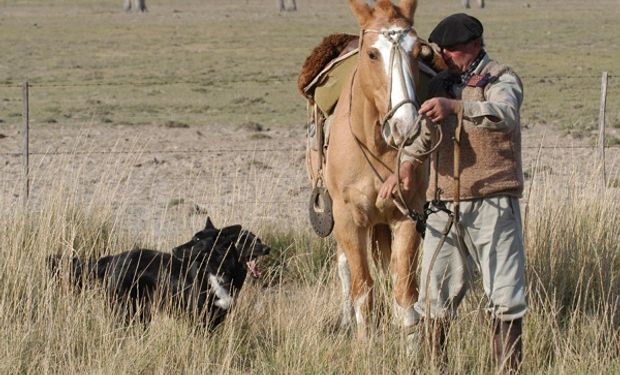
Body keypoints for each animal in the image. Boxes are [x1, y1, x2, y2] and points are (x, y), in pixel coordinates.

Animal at [47, 217, 270, 328]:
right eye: (195, 238)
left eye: (256, 240)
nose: (267, 248)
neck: (217, 270)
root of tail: (112, 259)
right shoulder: (198, 318)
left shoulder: (217, 318)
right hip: (126, 308)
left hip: (141, 311)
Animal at [326, 0, 428, 340]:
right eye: (372, 54)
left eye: (418, 52)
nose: (406, 126)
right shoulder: (348, 219)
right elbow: (362, 292)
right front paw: (365, 344)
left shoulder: (407, 216)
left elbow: (405, 293)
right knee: (345, 268)